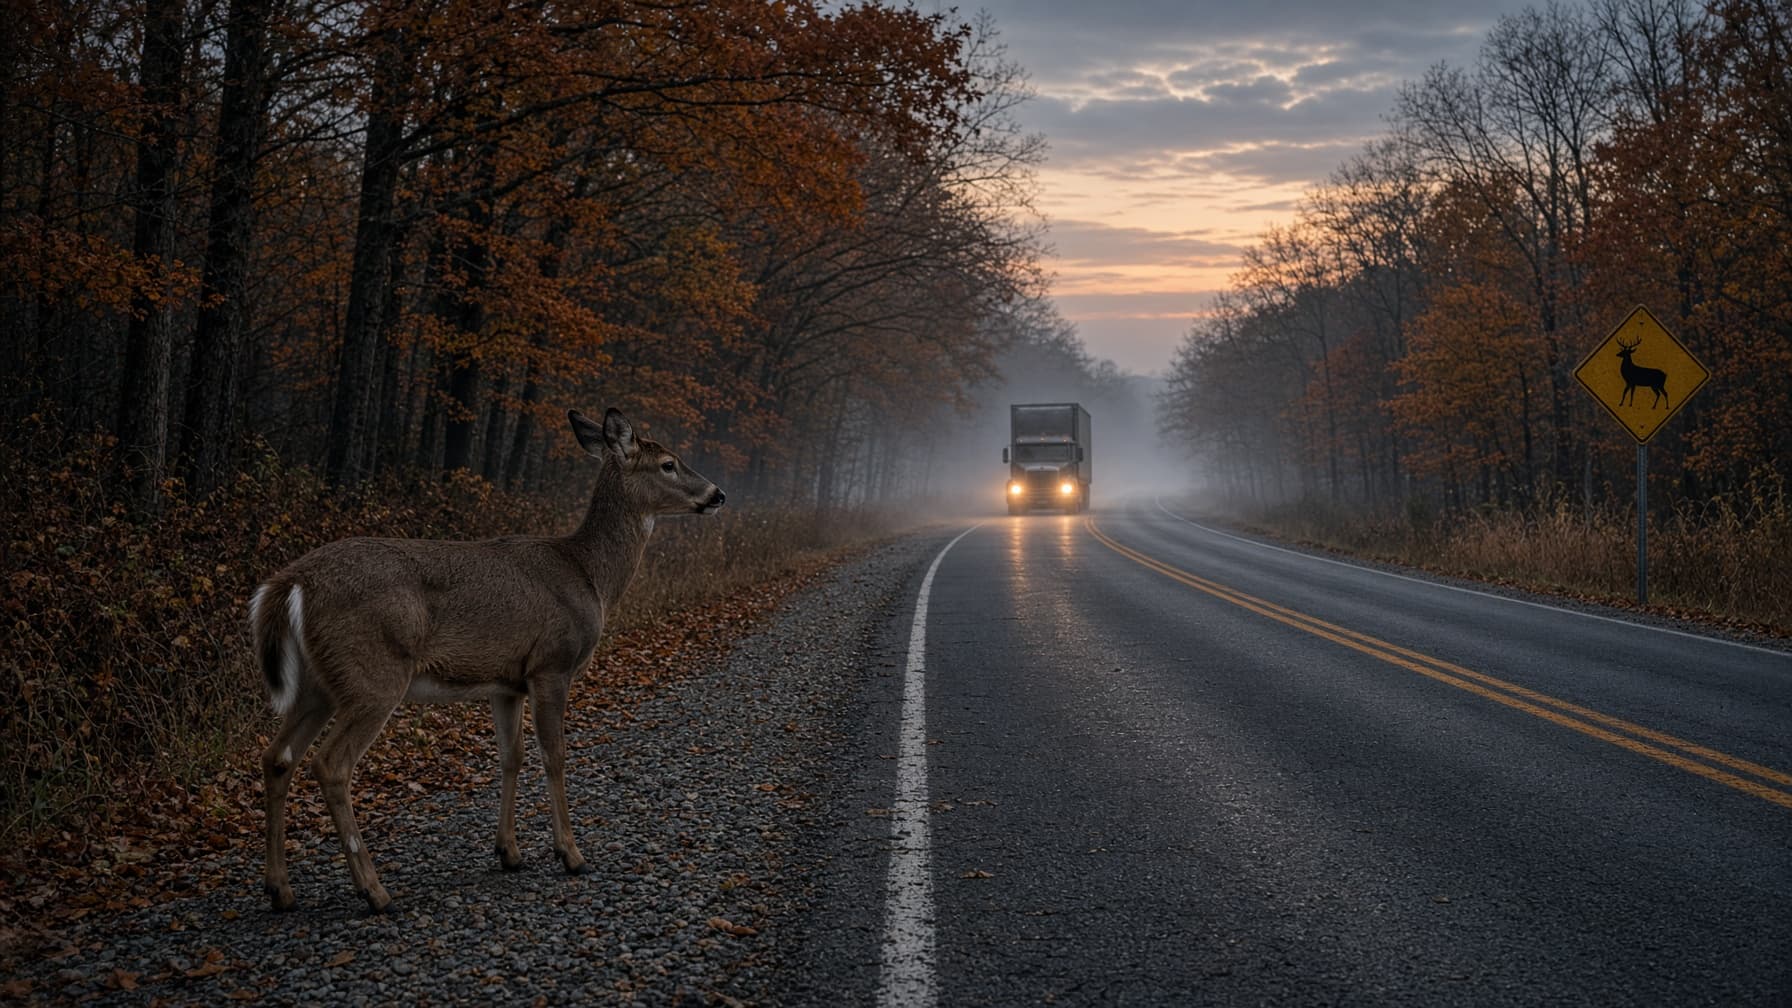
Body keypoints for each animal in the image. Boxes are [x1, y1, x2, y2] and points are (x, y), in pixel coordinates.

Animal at [250, 407, 724, 914]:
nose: (718, 494)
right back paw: (374, 890)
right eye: (668, 464)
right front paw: (570, 854)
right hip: (373, 673)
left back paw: (280, 890)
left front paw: (509, 852)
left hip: (317, 685)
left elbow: (511, 756)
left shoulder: (507, 683)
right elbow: (554, 755)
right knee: (331, 765)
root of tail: (291, 583)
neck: (589, 575)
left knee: (277, 756)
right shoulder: (551, 664)